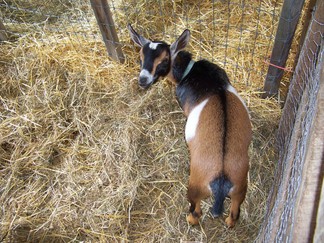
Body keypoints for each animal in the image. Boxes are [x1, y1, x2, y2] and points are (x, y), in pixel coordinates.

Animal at [128, 24, 252, 228]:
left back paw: (190, 219)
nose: (143, 80)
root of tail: (221, 178)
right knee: (234, 214)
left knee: (196, 210)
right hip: (240, 189)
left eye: (164, 60)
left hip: (195, 186)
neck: (190, 71)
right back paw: (229, 222)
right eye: (140, 56)